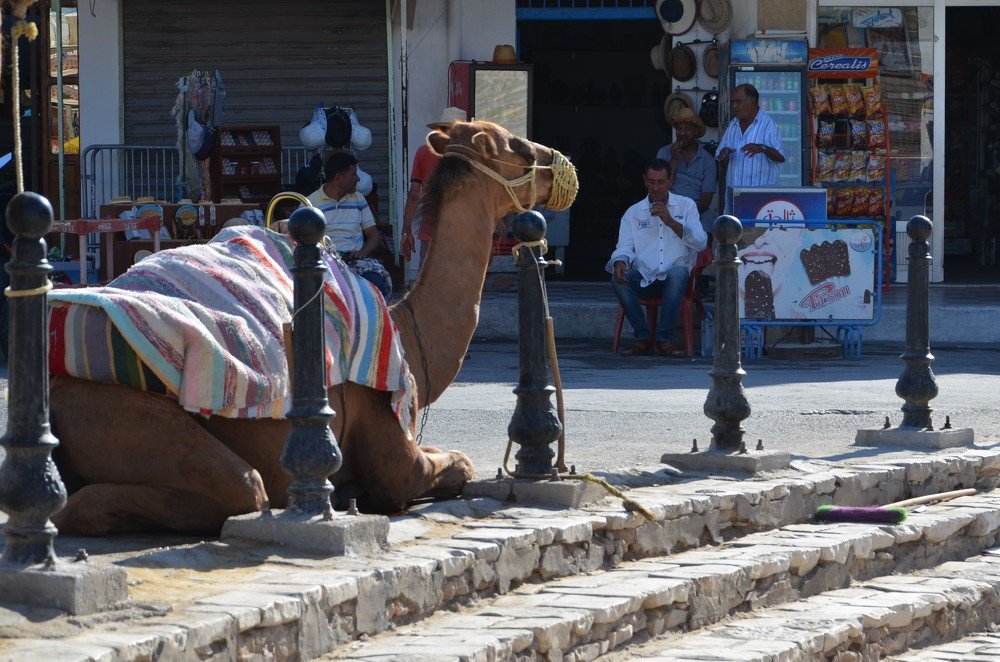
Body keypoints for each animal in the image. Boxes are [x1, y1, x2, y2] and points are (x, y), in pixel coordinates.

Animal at [46, 120, 578, 535]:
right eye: (518, 147)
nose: (561, 162)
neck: (408, 334)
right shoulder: (392, 453)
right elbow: (451, 466)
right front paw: (354, 493)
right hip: (126, 418)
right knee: (240, 489)